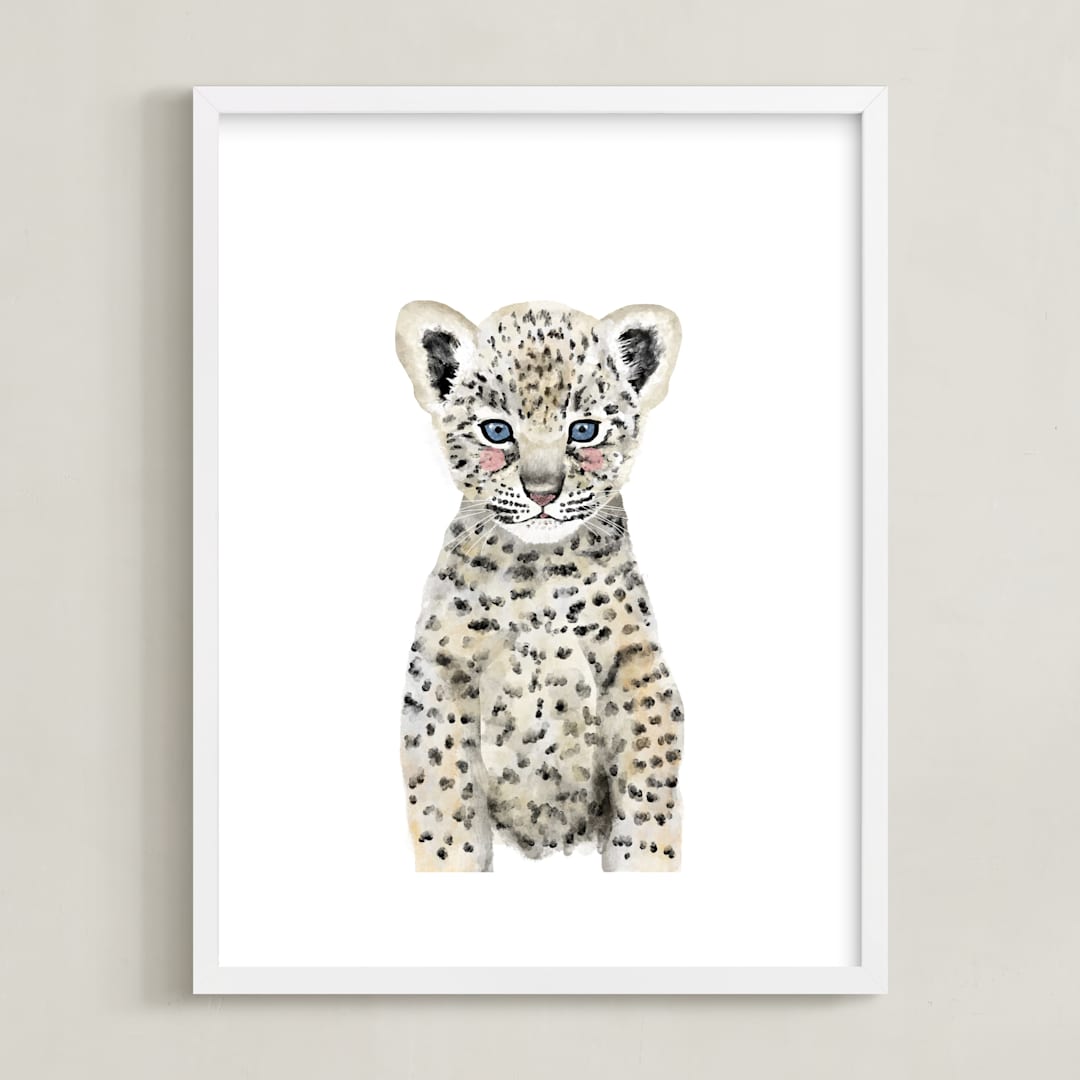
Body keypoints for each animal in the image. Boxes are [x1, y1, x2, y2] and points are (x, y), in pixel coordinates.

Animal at [395, 300, 685, 871]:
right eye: (496, 431)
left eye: (585, 430)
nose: (544, 492)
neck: (539, 575)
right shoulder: (440, 670)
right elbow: (444, 797)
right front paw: (451, 863)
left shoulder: (638, 668)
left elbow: (648, 788)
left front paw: (644, 861)